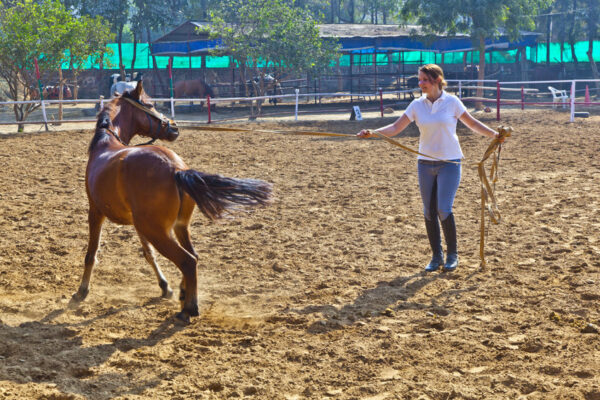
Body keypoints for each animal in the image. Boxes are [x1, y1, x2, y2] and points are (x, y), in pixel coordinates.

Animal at [71, 80, 274, 322]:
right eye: (150, 104)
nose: (174, 128)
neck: (106, 144)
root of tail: (177, 169)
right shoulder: (136, 223)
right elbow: (148, 254)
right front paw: (165, 287)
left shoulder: (95, 212)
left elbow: (91, 254)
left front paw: (81, 291)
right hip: (176, 227)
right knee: (193, 256)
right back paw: (184, 293)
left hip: (157, 230)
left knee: (187, 261)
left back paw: (189, 308)